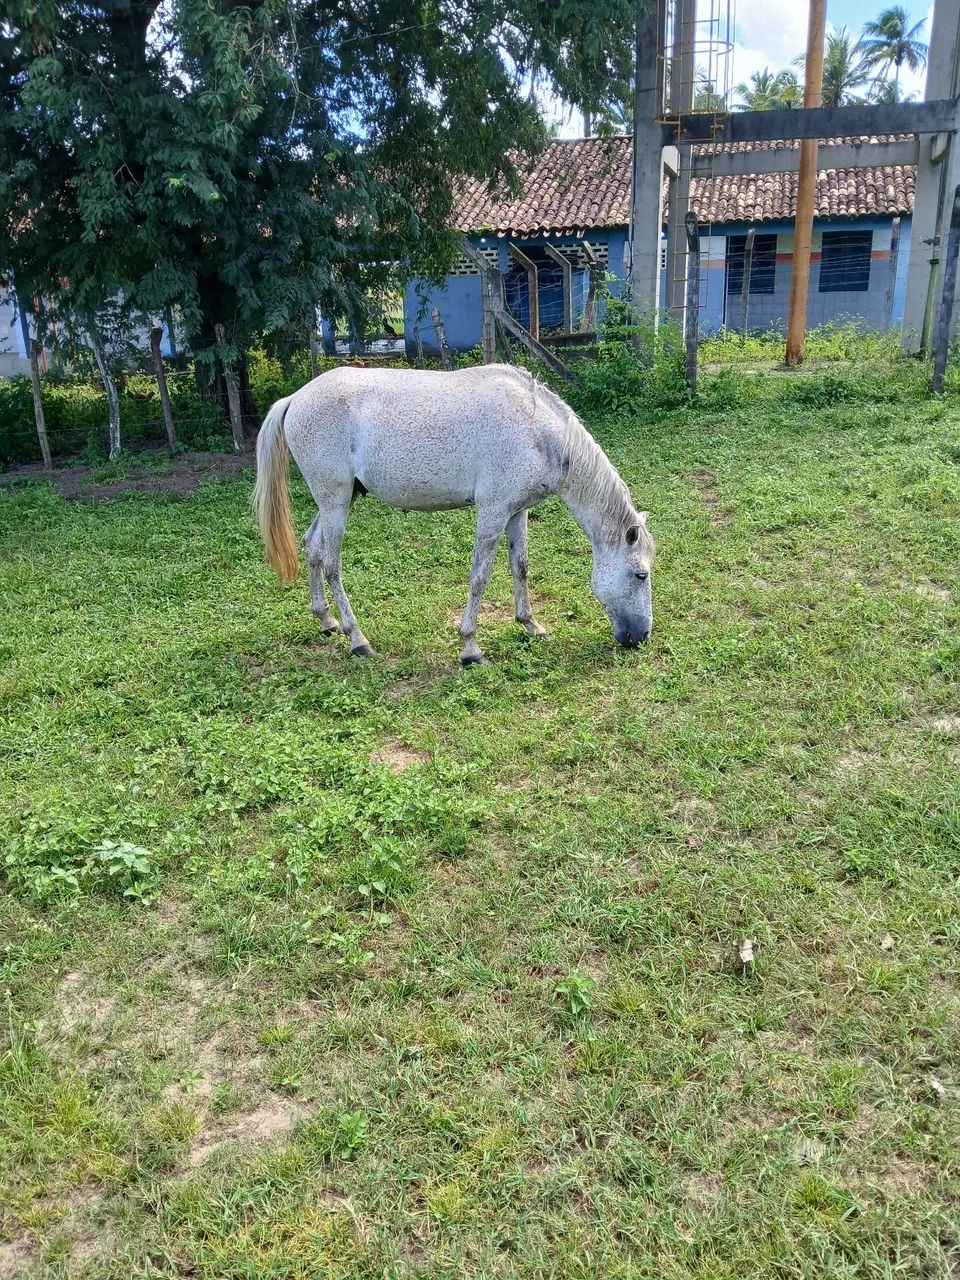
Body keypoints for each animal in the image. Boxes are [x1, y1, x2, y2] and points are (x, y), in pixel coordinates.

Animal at [252, 363, 654, 664]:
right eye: (641, 575)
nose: (641, 636)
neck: (536, 431)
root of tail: (296, 399)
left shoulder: (516, 512)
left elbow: (520, 567)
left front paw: (530, 624)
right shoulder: (492, 513)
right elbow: (480, 578)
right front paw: (470, 648)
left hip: (339, 499)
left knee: (312, 548)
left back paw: (327, 621)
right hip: (335, 501)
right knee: (332, 564)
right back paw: (358, 639)